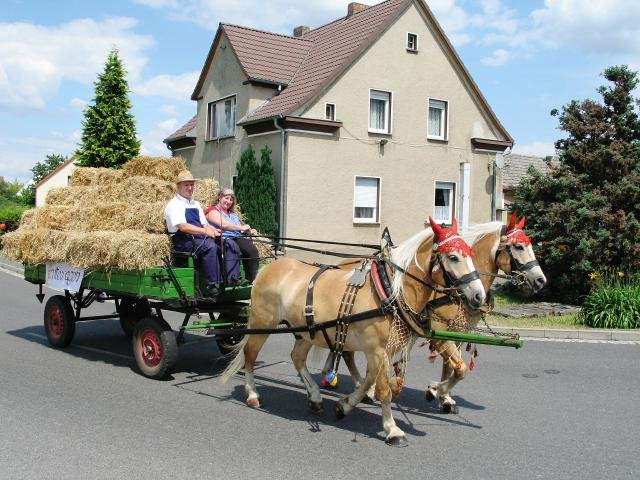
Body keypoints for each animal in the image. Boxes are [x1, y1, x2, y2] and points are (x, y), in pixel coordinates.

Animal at [221, 218, 484, 446]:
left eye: (471, 255)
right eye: (453, 257)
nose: (479, 295)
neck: (389, 291)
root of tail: (269, 267)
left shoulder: (381, 351)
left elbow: (370, 381)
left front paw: (345, 405)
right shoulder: (376, 349)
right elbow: (384, 389)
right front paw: (392, 429)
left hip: (307, 331)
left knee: (296, 358)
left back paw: (315, 397)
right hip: (262, 322)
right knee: (250, 355)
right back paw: (252, 394)